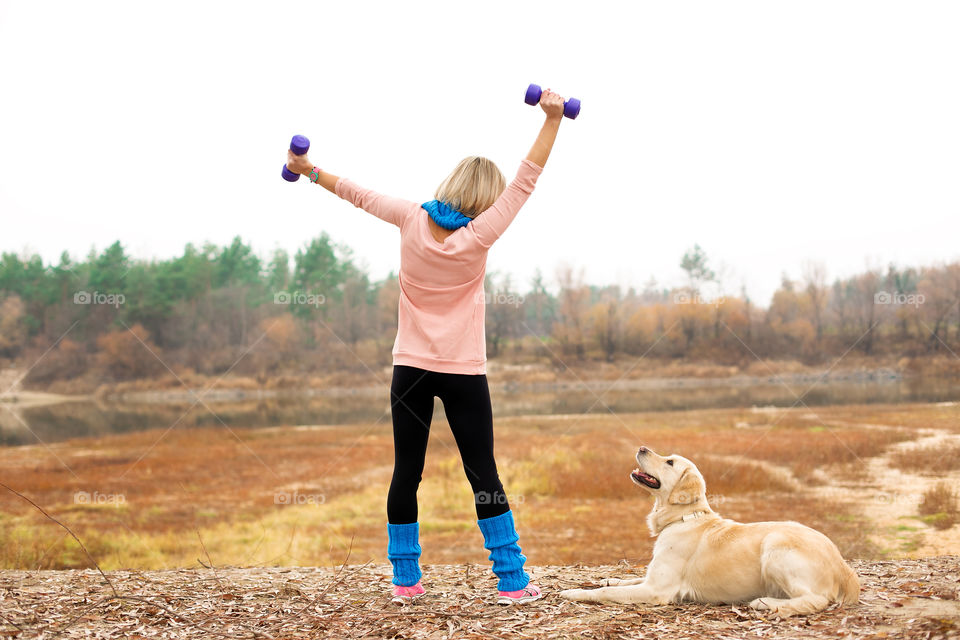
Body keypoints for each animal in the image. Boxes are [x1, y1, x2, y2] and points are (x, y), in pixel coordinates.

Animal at [560, 444, 860, 616]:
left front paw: (574, 593)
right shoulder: (650, 578)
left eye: (670, 462)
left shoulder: (657, 589)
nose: (642, 447)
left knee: (815, 600)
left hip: (776, 545)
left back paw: (766, 604)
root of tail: (844, 567)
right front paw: (609, 579)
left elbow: (603, 594)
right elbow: (623, 581)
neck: (683, 517)